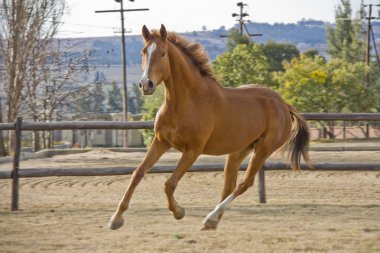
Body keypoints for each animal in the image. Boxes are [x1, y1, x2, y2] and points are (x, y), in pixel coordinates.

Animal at [108, 24, 310, 230]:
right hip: (239, 150)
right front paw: (116, 218)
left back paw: (210, 217)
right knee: (229, 185)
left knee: (245, 183)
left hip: (263, 150)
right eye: (143, 52)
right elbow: (138, 173)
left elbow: (169, 184)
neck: (186, 102)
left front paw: (179, 212)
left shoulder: (192, 150)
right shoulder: (161, 142)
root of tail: (284, 105)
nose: (145, 84)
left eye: (163, 53)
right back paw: (212, 221)